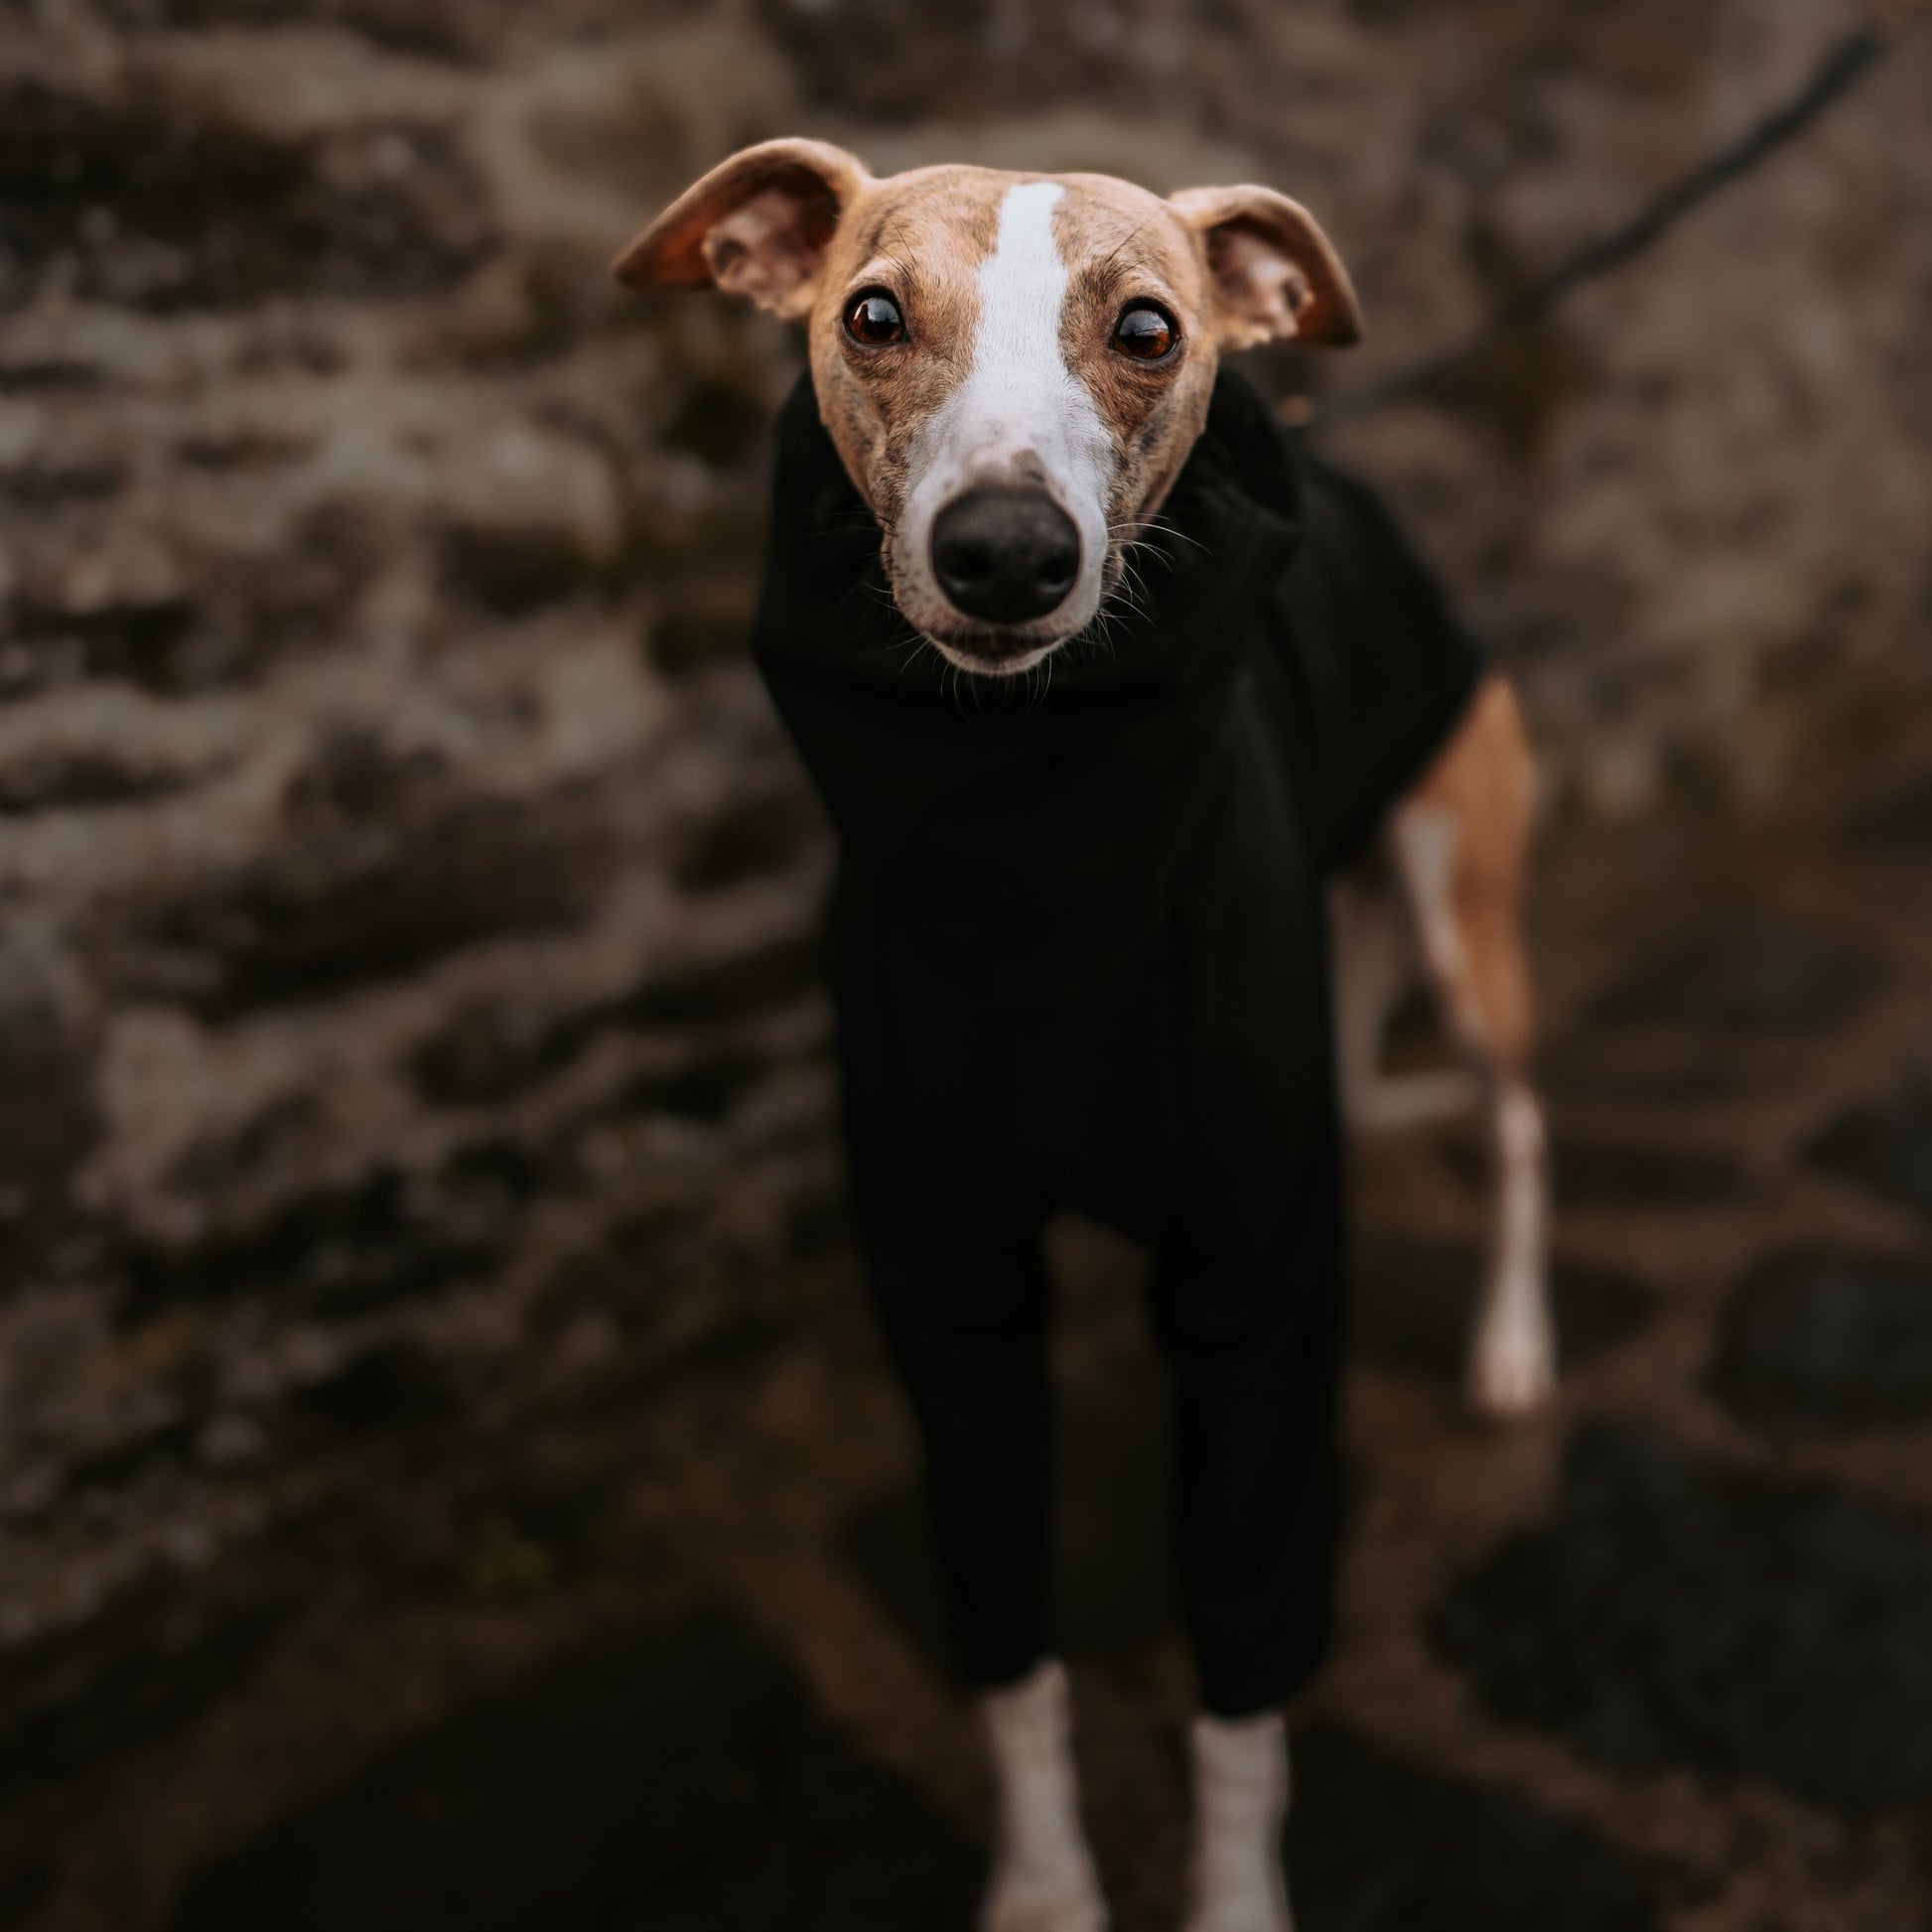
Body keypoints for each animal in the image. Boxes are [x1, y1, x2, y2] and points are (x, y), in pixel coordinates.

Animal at [618, 146, 1553, 1932]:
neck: (1030, 831)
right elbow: (1007, 1649)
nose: (1004, 551)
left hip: (1462, 906)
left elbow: (1243, 1677)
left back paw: (1512, 1345)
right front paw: (1047, 1885)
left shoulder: (1254, 1284)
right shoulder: (951, 1290)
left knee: (1518, 1120)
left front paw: (1234, 1896)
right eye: (871, 314)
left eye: (1144, 326)